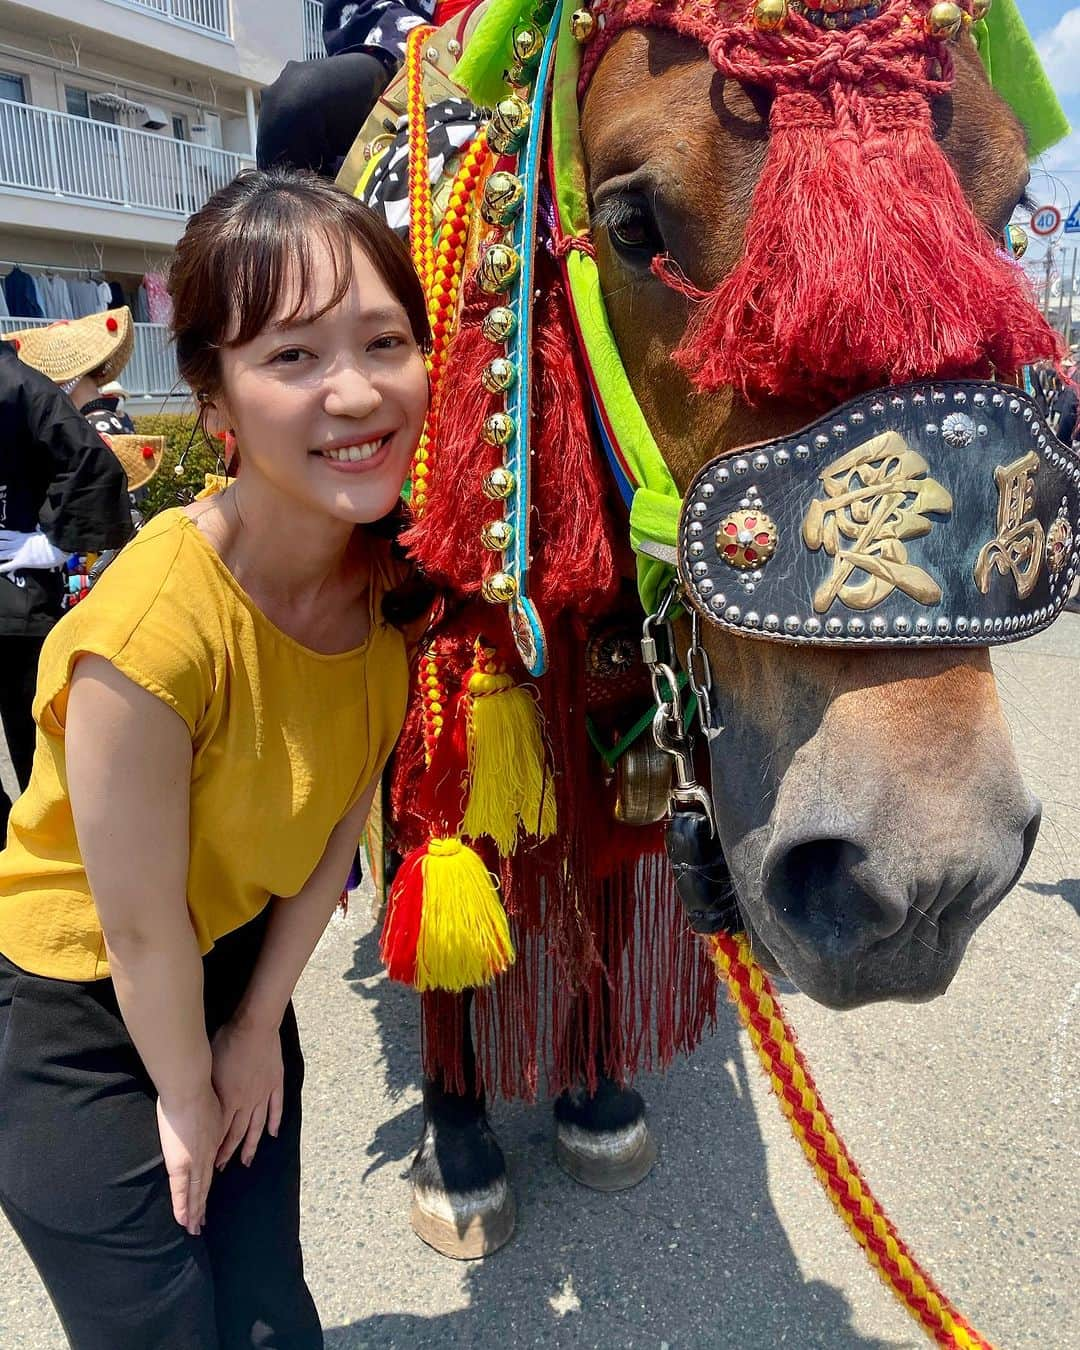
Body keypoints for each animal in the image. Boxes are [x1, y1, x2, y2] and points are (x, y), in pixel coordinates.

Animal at [333, 2, 1074, 1263]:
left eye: (1008, 213)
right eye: (632, 222)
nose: (930, 871)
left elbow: (598, 883)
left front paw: (595, 1100)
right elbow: (448, 870)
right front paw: (462, 1148)